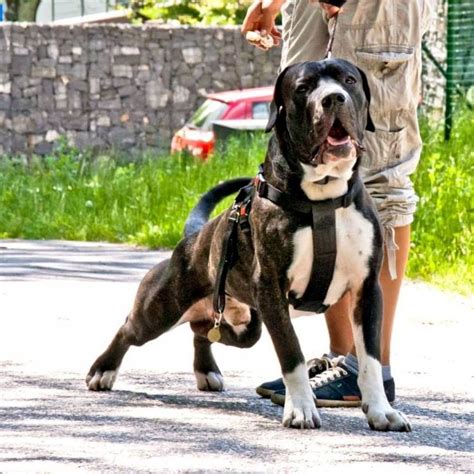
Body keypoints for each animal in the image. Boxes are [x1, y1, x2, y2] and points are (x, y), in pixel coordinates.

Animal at [88, 57, 412, 432]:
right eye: (303, 88)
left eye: (348, 80)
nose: (333, 98)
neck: (323, 200)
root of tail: (193, 237)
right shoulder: (272, 290)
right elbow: (291, 353)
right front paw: (301, 409)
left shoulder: (366, 290)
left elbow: (370, 357)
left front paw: (381, 411)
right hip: (161, 310)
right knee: (129, 328)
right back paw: (103, 369)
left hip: (242, 325)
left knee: (202, 329)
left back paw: (207, 370)